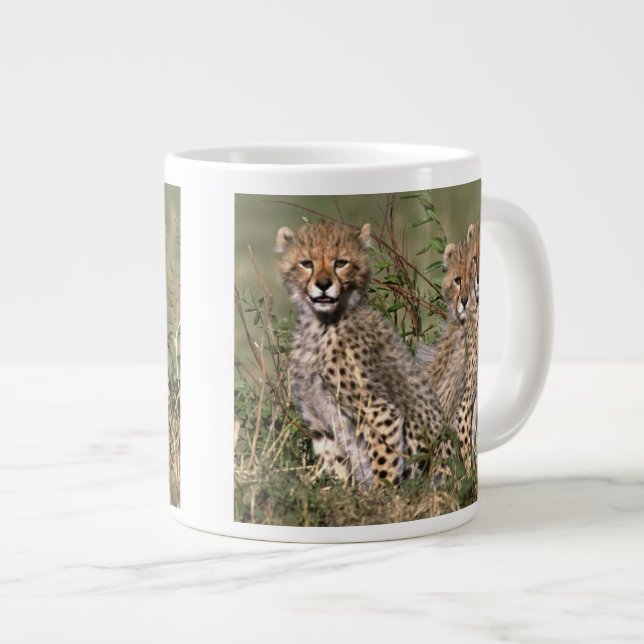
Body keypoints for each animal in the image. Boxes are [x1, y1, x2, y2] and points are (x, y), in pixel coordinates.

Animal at [276, 220, 454, 488]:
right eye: (306, 263)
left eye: (341, 263)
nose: (323, 285)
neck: (321, 324)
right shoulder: (319, 421)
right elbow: (335, 462)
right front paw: (340, 489)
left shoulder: (379, 411)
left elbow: (384, 459)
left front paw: (384, 493)